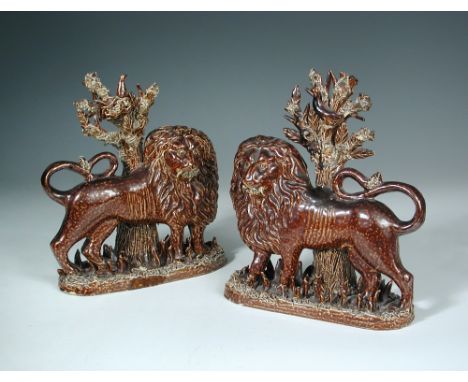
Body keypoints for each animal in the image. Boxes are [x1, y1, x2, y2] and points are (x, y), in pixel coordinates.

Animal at [41, 126, 218, 274]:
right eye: (179, 153)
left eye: (196, 151)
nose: (192, 166)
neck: (190, 185)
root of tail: (71, 194)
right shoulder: (176, 219)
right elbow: (177, 240)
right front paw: (180, 260)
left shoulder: (197, 218)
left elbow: (197, 236)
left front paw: (203, 253)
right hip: (81, 221)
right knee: (58, 244)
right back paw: (73, 270)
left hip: (106, 223)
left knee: (88, 248)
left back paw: (106, 268)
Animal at [230, 136, 424, 308]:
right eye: (246, 162)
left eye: (264, 165)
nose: (247, 181)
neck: (270, 202)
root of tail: (391, 220)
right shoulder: (262, 248)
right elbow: (255, 268)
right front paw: (248, 287)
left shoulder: (290, 247)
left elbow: (287, 272)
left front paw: (280, 293)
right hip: (356, 252)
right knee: (372, 276)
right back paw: (364, 301)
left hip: (377, 249)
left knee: (404, 276)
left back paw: (402, 306)